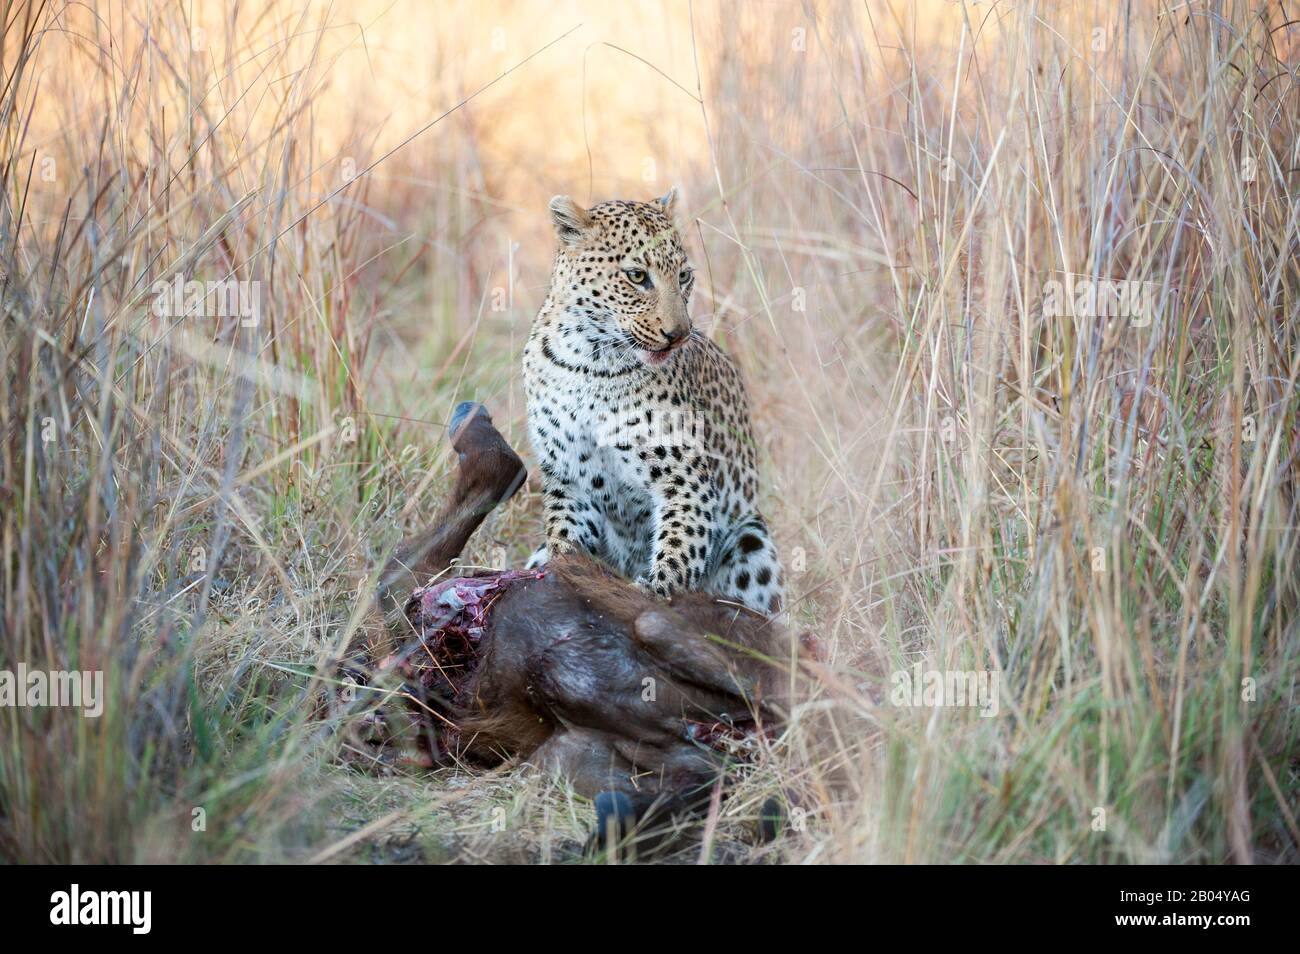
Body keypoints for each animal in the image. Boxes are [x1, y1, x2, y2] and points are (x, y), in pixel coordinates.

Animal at [522, 188, 784, 616]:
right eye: (637, 276)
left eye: (684, 276)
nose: (678, 334)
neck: (590, 361)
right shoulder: (568, 477)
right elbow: (564, 539)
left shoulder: (684, 478)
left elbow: (681, 544)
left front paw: (656, 596)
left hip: (753, 541)